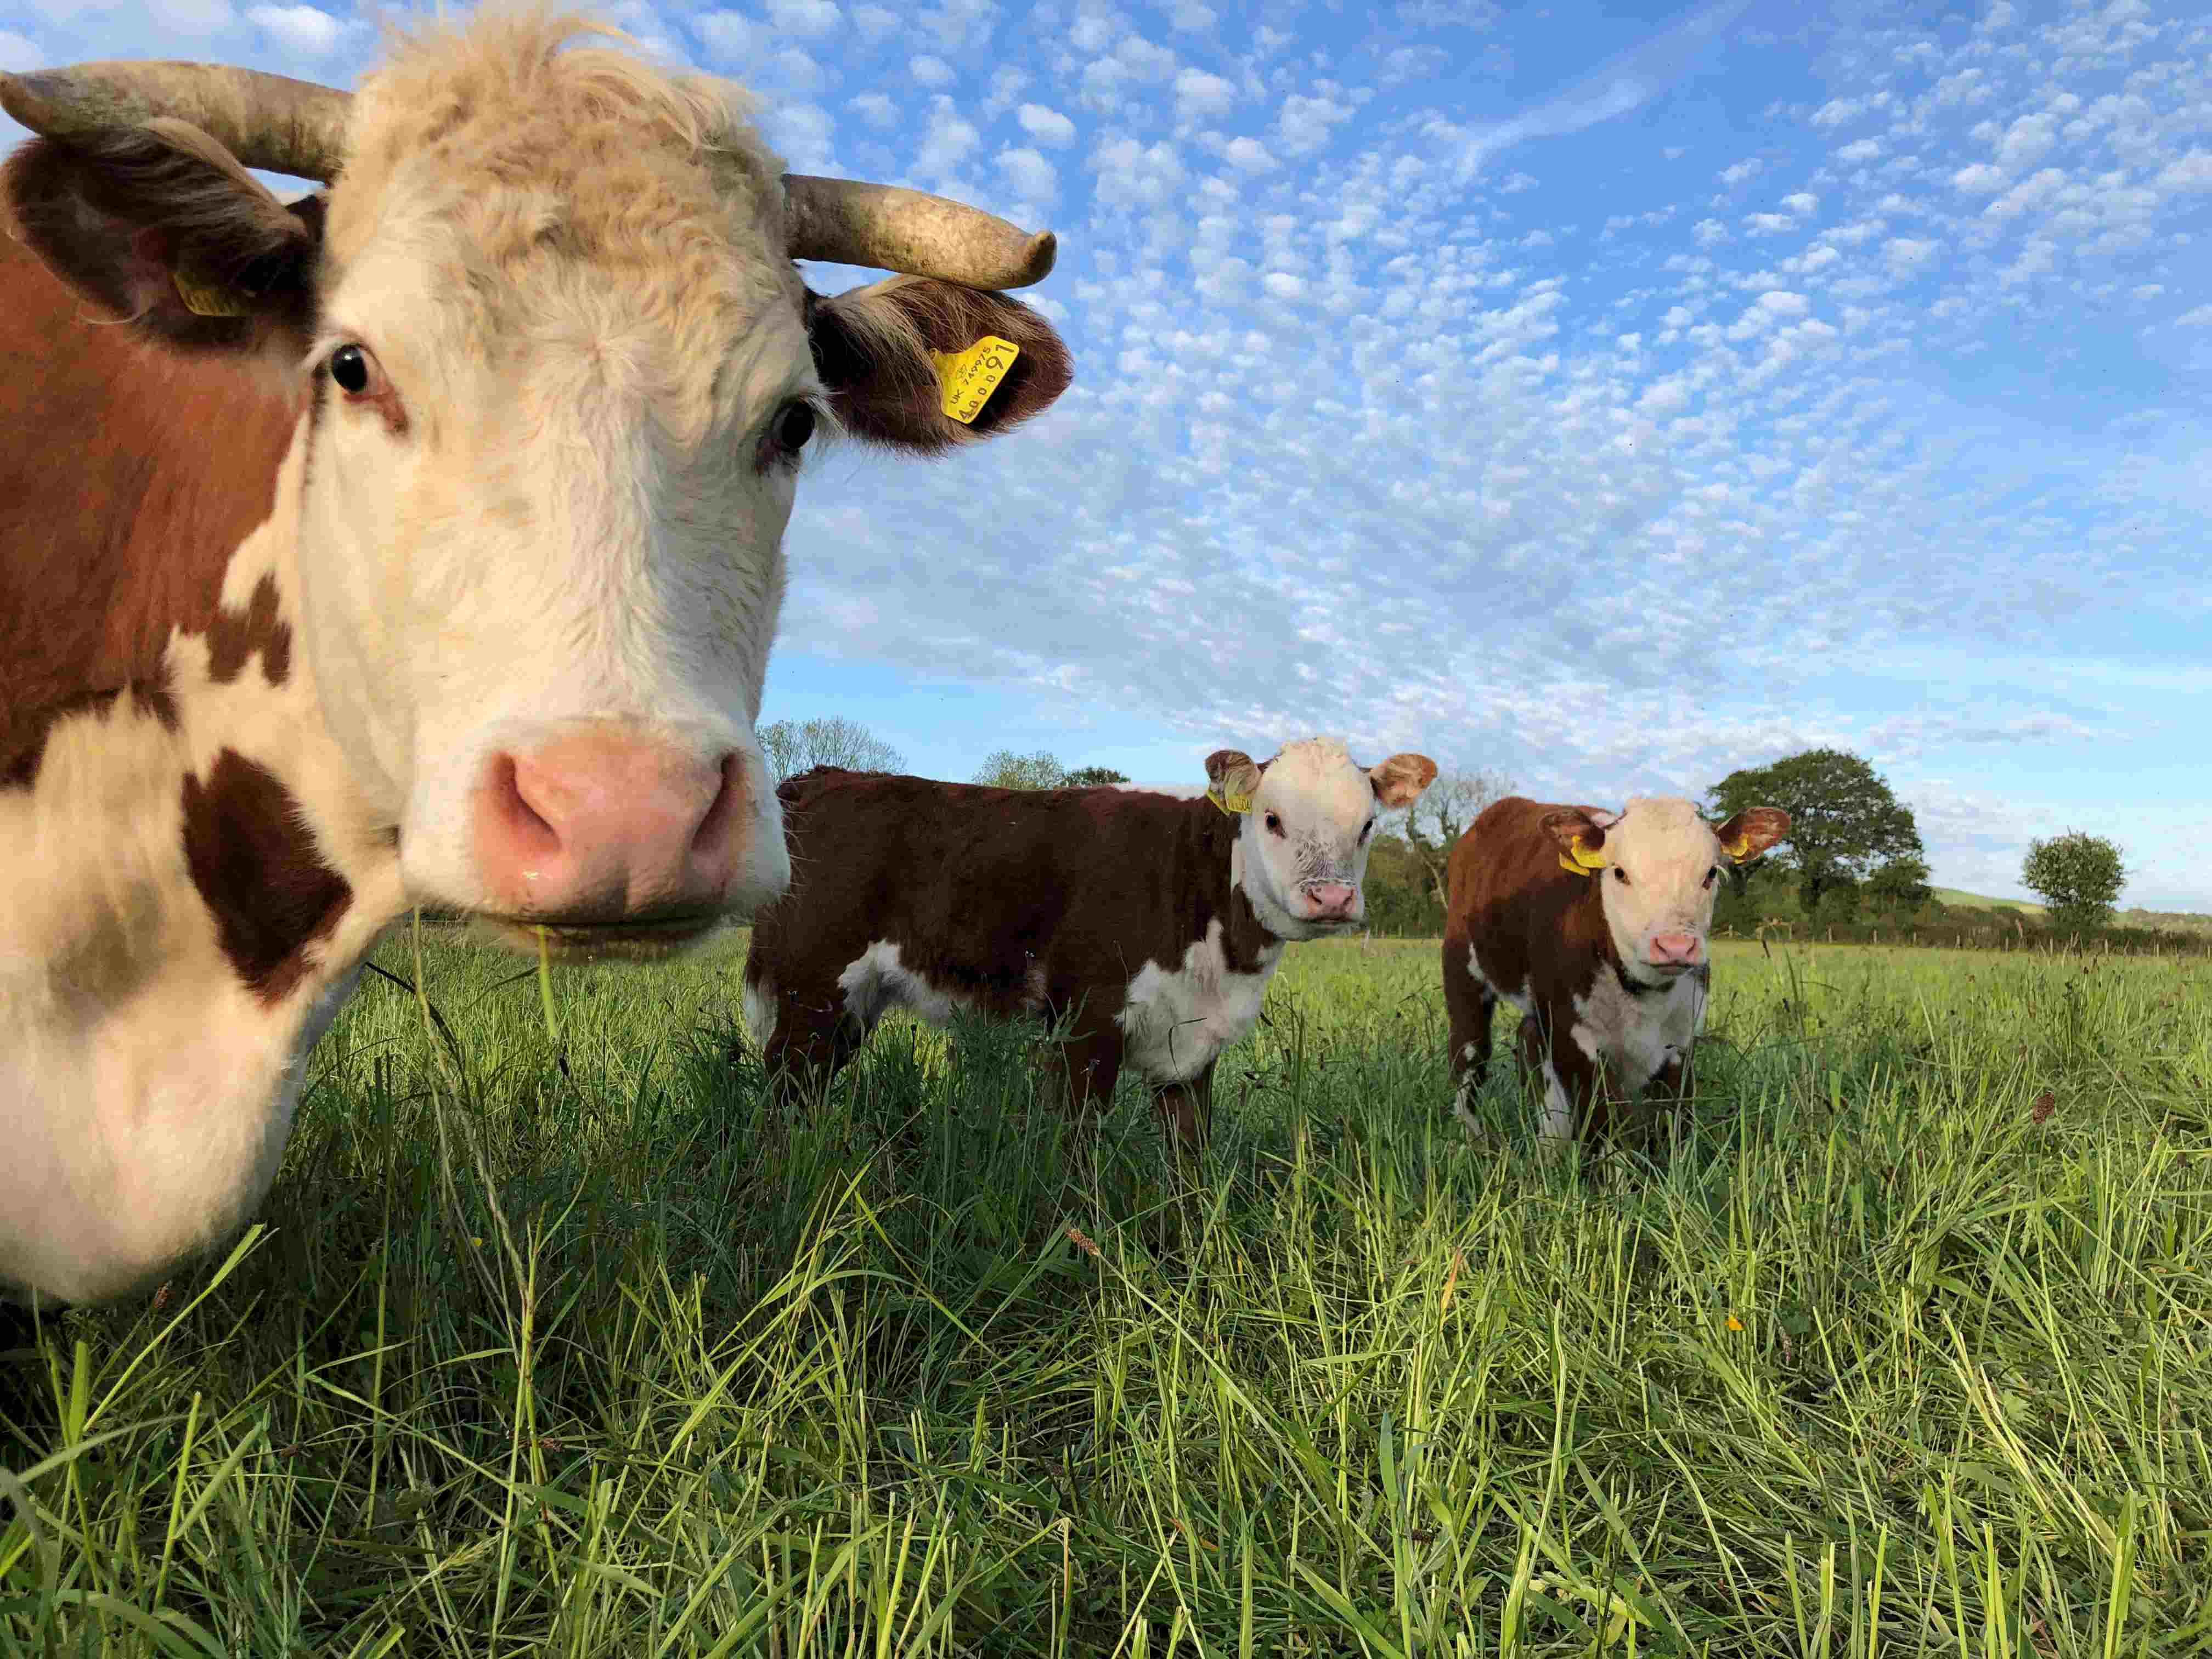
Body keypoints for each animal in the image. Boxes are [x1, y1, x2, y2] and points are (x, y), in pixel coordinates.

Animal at [740, 739, 1438, 1161]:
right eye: (1272, 819)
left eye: (1367, 826)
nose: (1331, 897)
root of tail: (821, 780)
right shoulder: (1084, 1025)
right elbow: (1080, 1160)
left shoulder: (1192, 1047)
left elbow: (1190, 1164)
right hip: (812, 987)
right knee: (780, 1089)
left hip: (850, 1004)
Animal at [1442, 795, 1790, 1151]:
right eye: (1620, 873)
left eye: (1710, 873)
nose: (1675, 946)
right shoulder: (1573, 1034)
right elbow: (1605, 1125)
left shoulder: (1682, 1037)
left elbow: (1673, 1122)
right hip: (1462, 965)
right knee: (1469, 1053)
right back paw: (1475, 1143)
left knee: (1528, 1040)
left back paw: (1550, 1144)